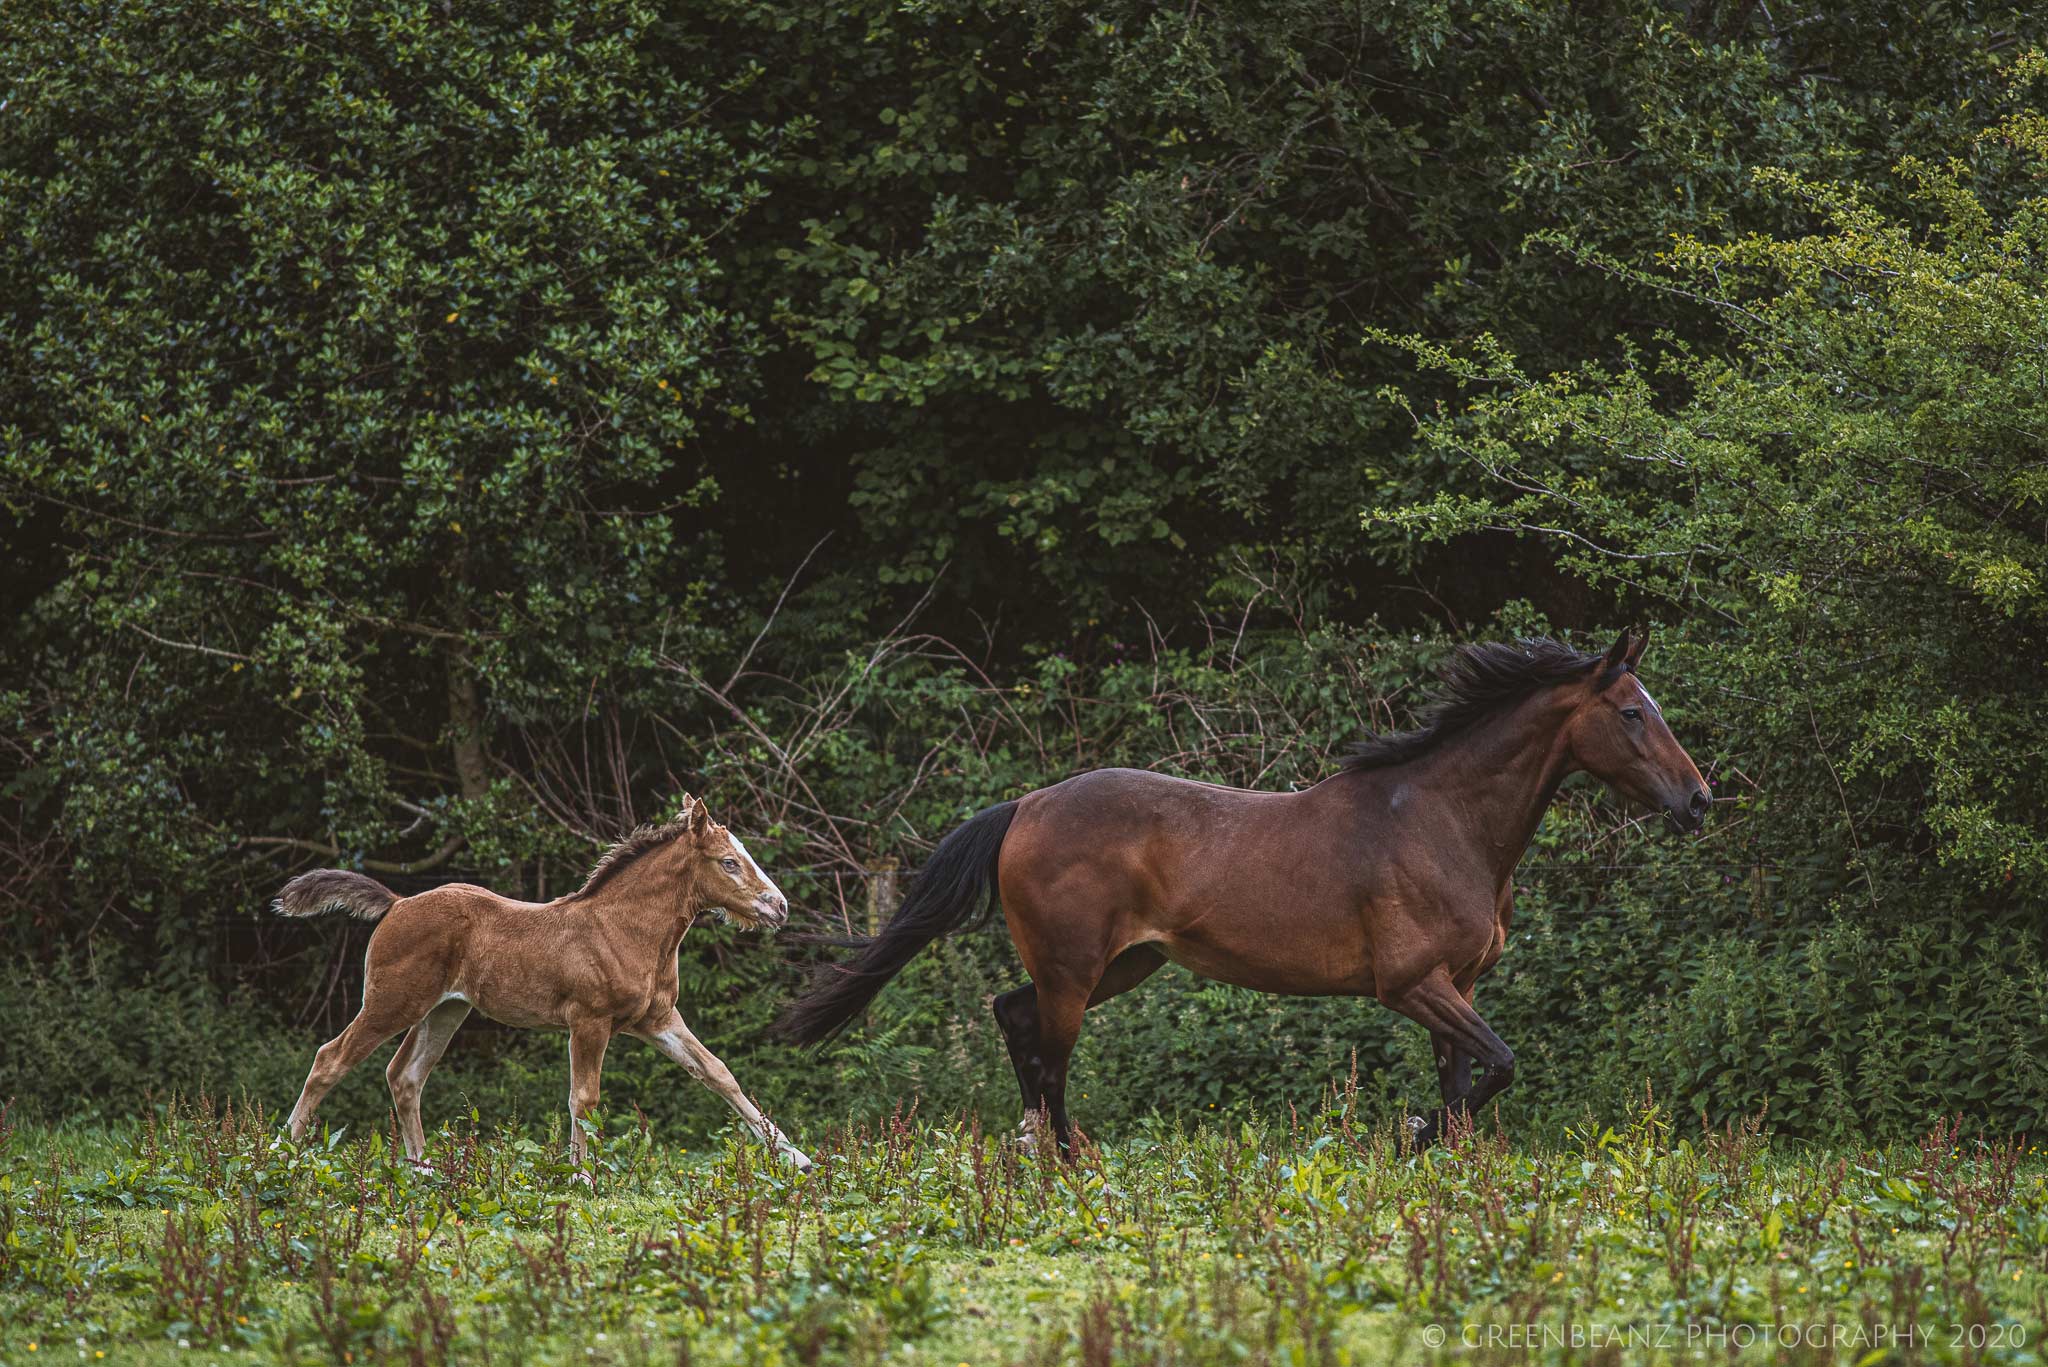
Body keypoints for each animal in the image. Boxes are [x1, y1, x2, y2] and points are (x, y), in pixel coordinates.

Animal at [274, 795, 815, 1172]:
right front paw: (582, 1176)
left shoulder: (656, 1019)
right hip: (392, 1002)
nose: (779, 907)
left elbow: (719, 1073)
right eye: (729, 862)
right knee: (330, 1059)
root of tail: (398, 902)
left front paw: (796, 1158)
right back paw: (278, 1154)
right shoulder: (590, 1022)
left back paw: (425, 1171)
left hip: (444, 1010)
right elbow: (584, 1099)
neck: (626, 930)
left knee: (404, 1076)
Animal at [778, 635, 1712, 1147]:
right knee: (1045, 1051)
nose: (1699, 799)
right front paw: (1410, 1142)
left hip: (1124, 965)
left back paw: (1047, 1150)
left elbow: (1466, 1084)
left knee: (1012, 1017)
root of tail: (1027, 805)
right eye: (1631, 712)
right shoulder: (1412, 984)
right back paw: (1069, 1163)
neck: (1443, 820)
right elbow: (1498, 1066)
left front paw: (1438, 1162)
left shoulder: (1459, 985)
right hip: (1076, 973)